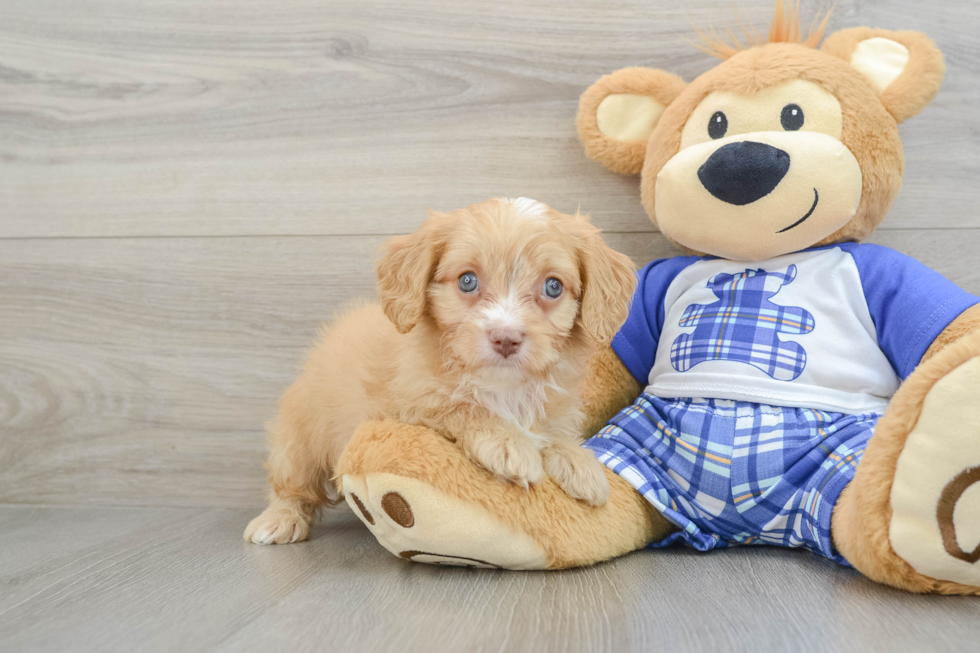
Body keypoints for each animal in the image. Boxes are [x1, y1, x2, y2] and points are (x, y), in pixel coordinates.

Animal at [247, 196, 636, 544]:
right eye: (467, 281)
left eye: (553, 286)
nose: (506, 338)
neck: (504, 388)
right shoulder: (407, 408)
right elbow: (460, 406)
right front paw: (507, 442)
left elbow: (553, 429)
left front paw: (578, 461)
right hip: (300, 437)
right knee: (291, 485)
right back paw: (279, 520)